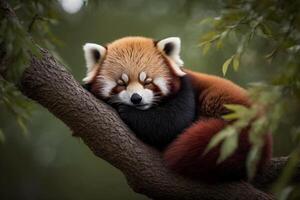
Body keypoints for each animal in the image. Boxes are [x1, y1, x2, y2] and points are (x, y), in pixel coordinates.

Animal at [81, 36, 272, 181]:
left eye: (147, 82)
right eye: (121, 84)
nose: (136, 99)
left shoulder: (186, 90)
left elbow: (171, 124)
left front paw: (124, 109)